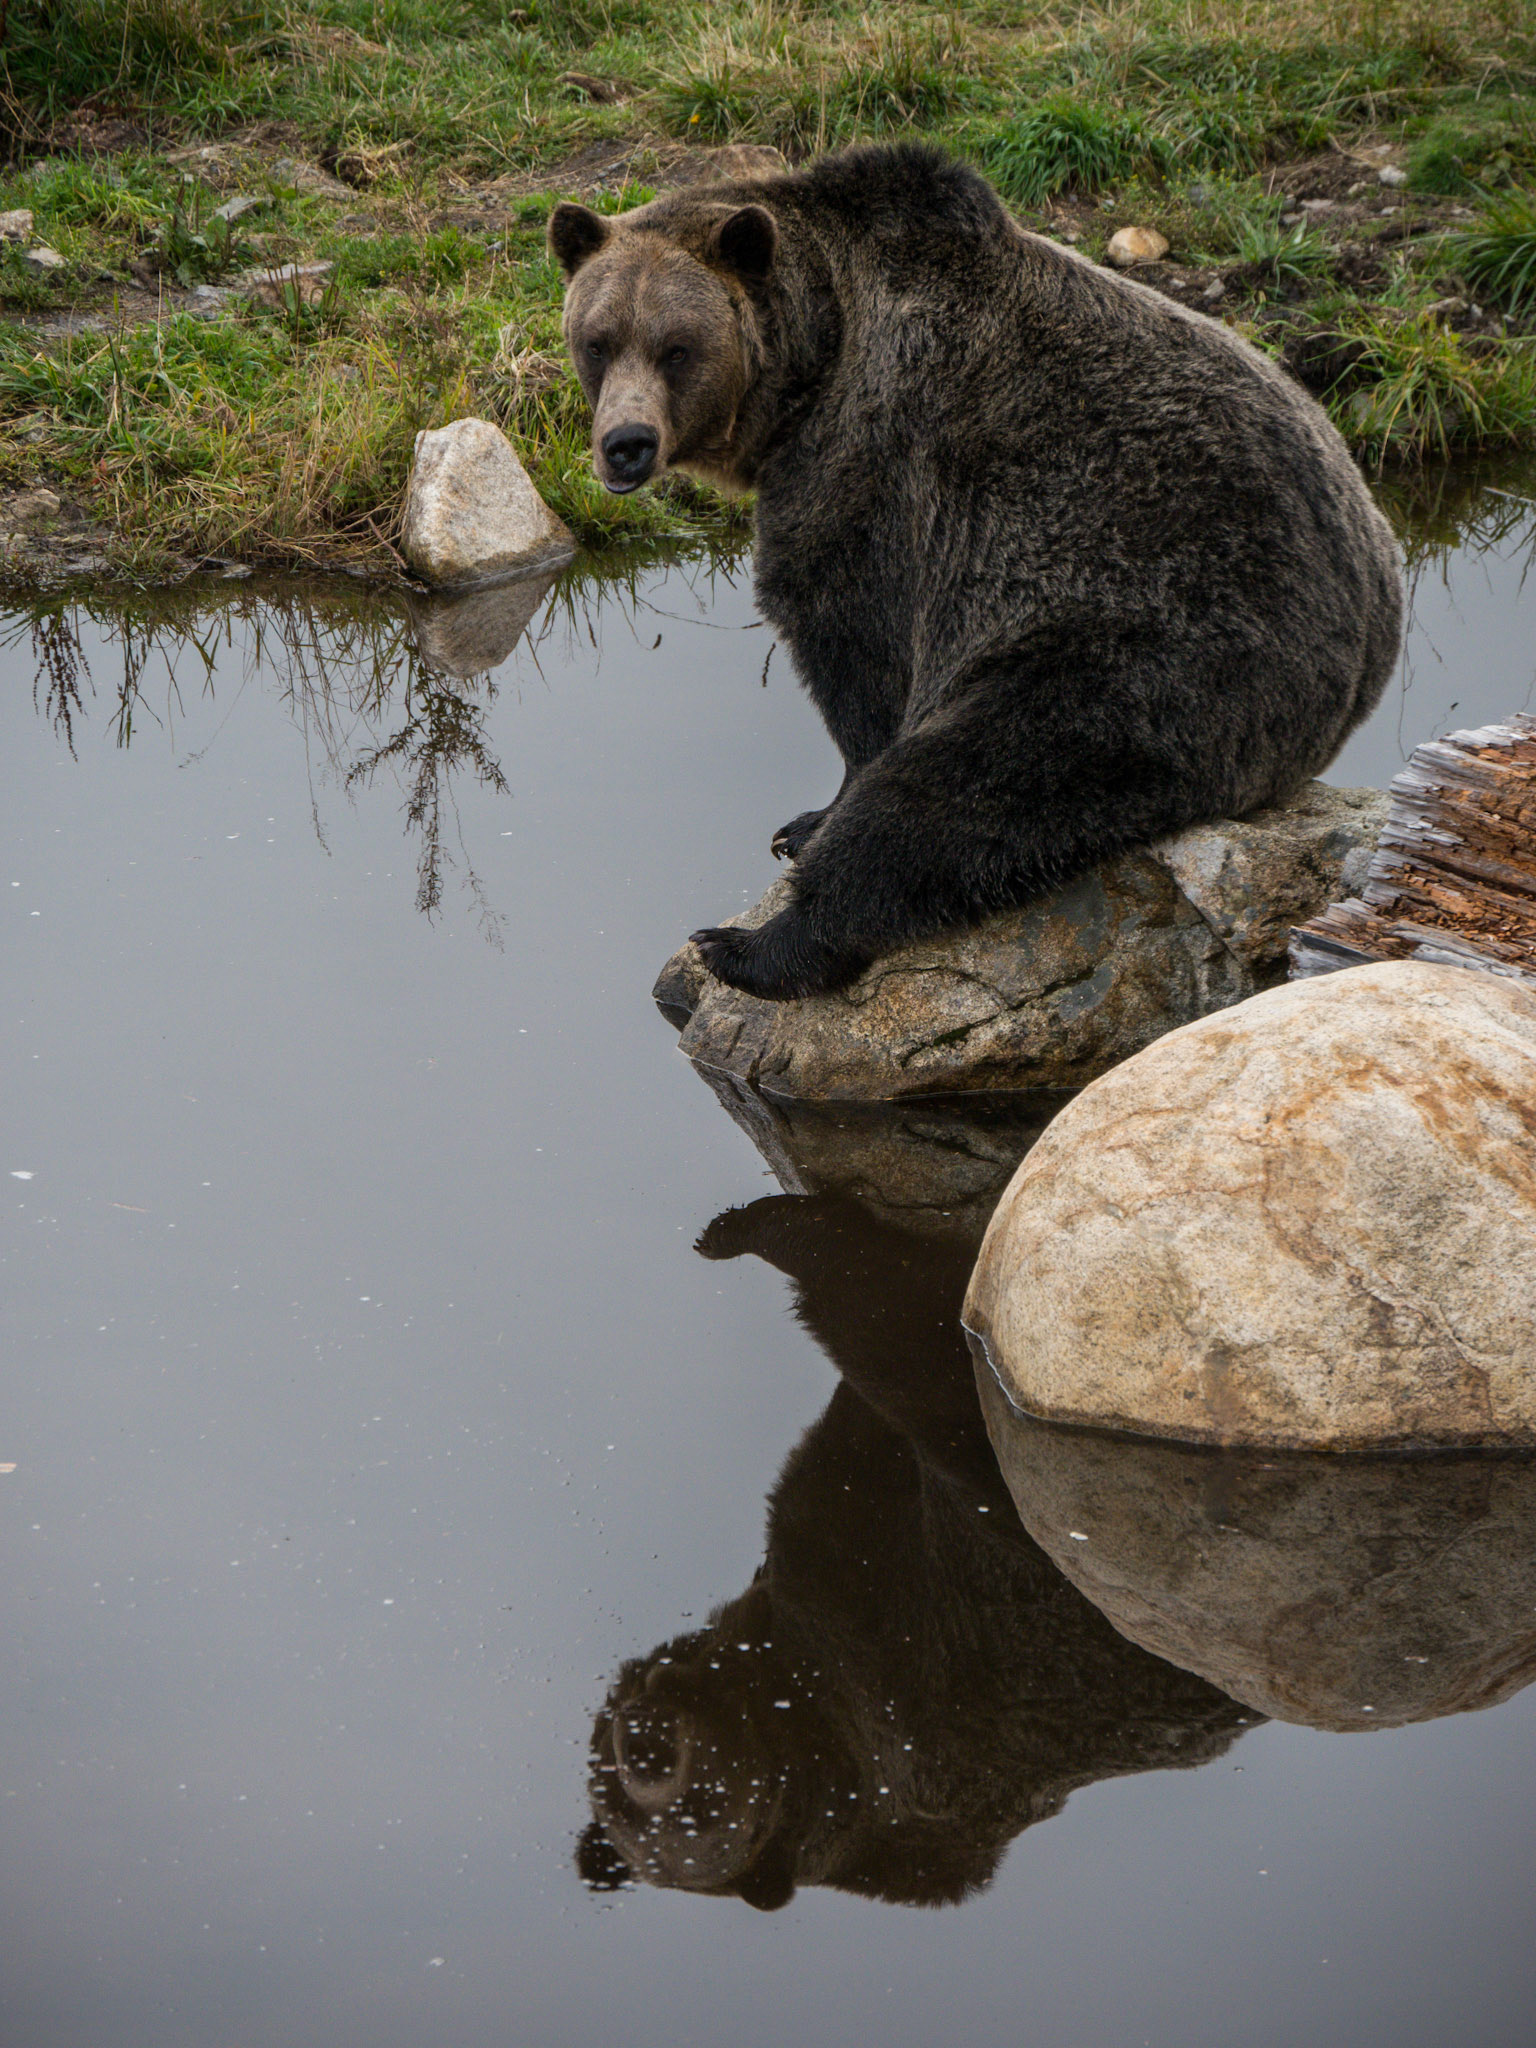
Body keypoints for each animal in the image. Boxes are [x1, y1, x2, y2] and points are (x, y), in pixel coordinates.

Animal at [549, 142, 1404, 1000]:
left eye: (677, 347)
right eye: (597, 340)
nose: (625, 445)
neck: (815, 358)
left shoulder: (873, 476)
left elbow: (857, 654)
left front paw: (810, 822)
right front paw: (803, 823)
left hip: (1147, 652)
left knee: (957, 789)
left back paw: (751, 946)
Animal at [576, 1189, 1254, 1911]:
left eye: (703, 1807)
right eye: (621, 1795)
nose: (648, 1742)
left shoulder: (884, 1618)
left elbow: (883, 1299)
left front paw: (744, 1227)